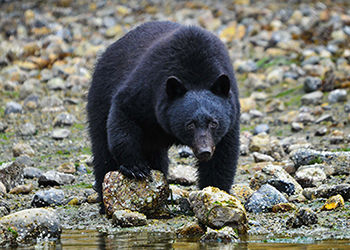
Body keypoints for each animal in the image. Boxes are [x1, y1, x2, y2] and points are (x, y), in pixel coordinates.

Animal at [87, 21, 241, 213]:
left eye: (213, 123)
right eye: (189, 124)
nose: (204, 151)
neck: (196, 75)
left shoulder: (231, 114)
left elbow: (223, 155)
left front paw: (215, 192)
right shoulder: (148, 89)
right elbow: (124, 114)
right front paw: (136, 167)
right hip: (100, 96)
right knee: (102, 150)